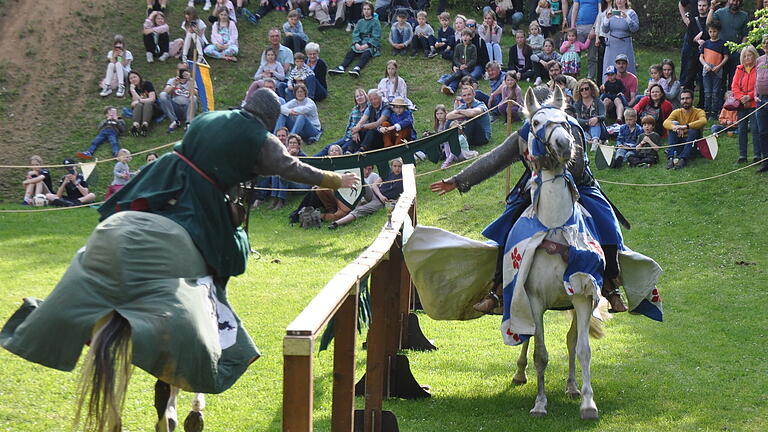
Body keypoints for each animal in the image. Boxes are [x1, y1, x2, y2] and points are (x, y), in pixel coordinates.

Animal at [508, 86, 608, 420]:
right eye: (536, 123)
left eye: (565, 121)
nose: (565, 145)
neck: (554, 227)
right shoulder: (533, 299)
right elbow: (540, 352)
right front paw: (540, 403)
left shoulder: (582, 294)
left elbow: (581, 349)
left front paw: (587, 403)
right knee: (525, 337)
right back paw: (520, 373)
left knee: (571, 342)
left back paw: (572, 386)